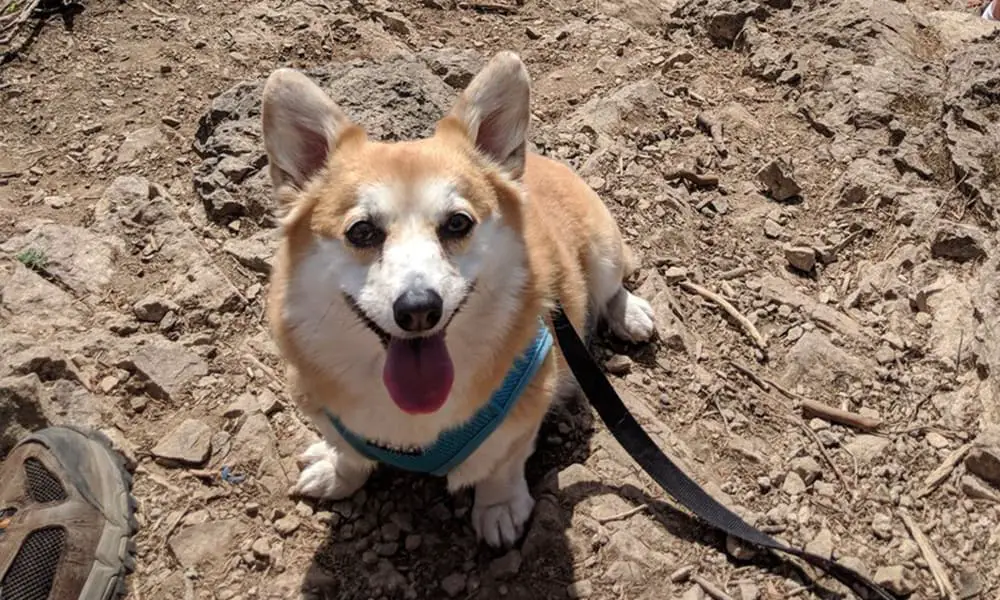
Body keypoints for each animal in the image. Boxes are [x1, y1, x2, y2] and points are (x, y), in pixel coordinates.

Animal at [262, 52, 660, 548]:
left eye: (457, 223)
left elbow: (501, 464)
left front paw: (499, 508)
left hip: (603, 252)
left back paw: (630, 313)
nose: (418, 309)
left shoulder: (525, 407)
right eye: (362, 231)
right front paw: (337, 472)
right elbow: (349, 452)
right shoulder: (326, 408)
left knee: (611, 286)